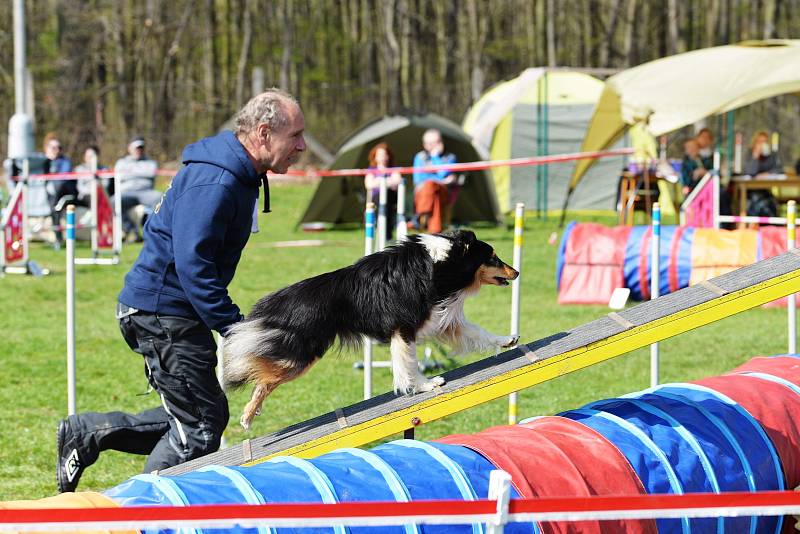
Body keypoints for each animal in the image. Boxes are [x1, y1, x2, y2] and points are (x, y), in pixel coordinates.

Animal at [223, 230, 520, 432]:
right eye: (493, 257)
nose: (516, 272)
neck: (442, 263)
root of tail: (279, 302)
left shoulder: (440, 319)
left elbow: (478, 333)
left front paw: (507, 340)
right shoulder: (405, 329)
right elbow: (409, 364)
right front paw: (424, 385)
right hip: (303, 355)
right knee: (262, 377)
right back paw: (247, 416)